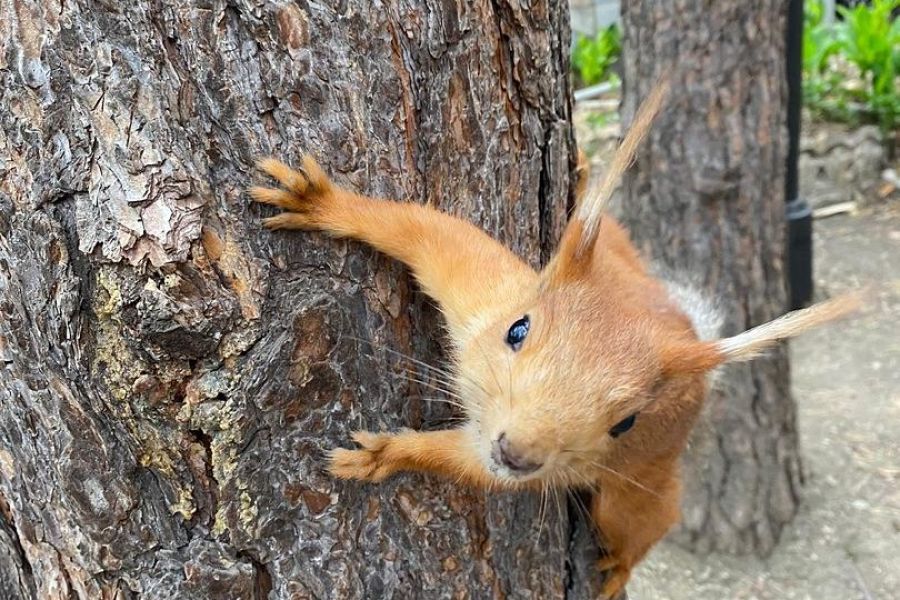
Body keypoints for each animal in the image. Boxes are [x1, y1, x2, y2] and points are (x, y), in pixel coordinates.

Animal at [246, 83, 856, 596]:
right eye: (517, 330)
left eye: (625, 423)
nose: (518, 454)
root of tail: (692, 342)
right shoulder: (478, 282)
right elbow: (418, 228)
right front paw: (322, 202)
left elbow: (465, 465)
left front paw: (386, 454)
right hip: (616, 248)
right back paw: (583, 176)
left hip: (637, 481)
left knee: (649, 519)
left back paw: (619, 568)